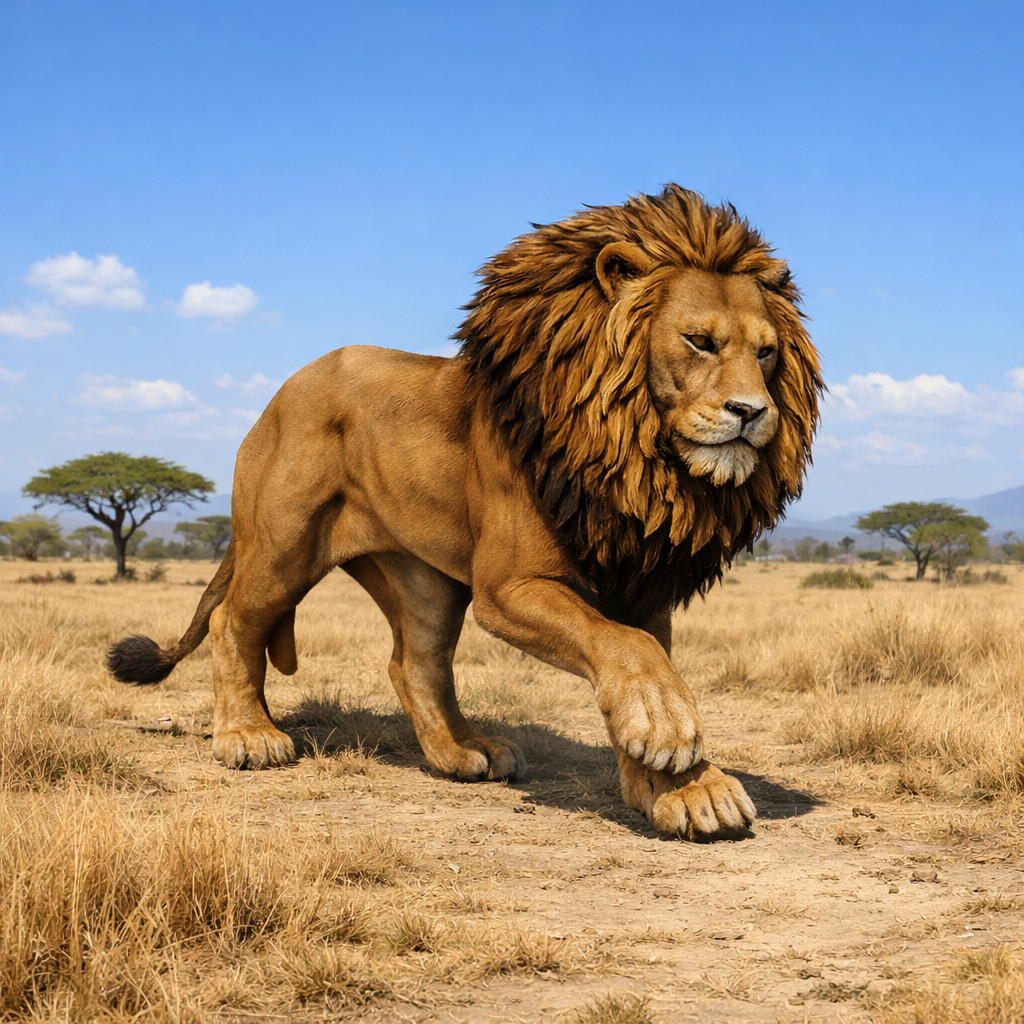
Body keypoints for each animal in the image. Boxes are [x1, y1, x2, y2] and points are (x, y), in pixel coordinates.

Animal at [108, 185, 822, 839]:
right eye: (700, 342)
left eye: (766, 352)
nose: (752, 412)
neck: (637, 454)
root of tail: (277, 396)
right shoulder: (509, 586)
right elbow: (627, 647)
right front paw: (670, 737)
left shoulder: (640, 582)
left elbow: (644, 652)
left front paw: (683, 788)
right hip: (283, 544)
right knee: (232, 619)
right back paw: (248, 736)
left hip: (426, 579)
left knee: (415, 662)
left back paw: (462, 751)